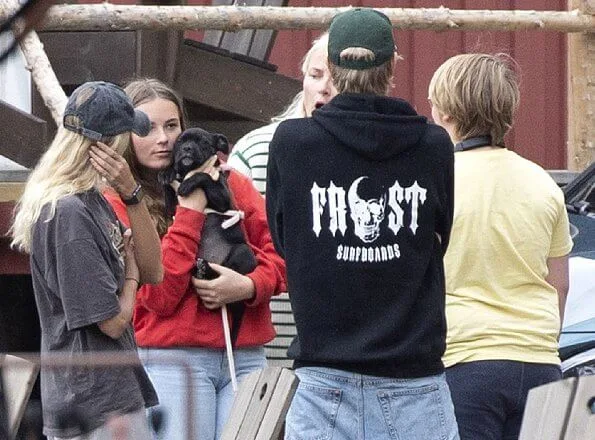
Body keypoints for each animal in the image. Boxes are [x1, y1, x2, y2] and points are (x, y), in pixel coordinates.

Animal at [158, 127, 258, 344]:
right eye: (180, 141)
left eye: (203, 142)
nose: (187, 149)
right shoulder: (174, 207)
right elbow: (169, 190)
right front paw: (166, 172)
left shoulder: (223, 197)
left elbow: (203, 176)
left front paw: (188, 183)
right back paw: (202, 270)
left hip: (242, 253)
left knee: (226, 272)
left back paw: (208, 270)